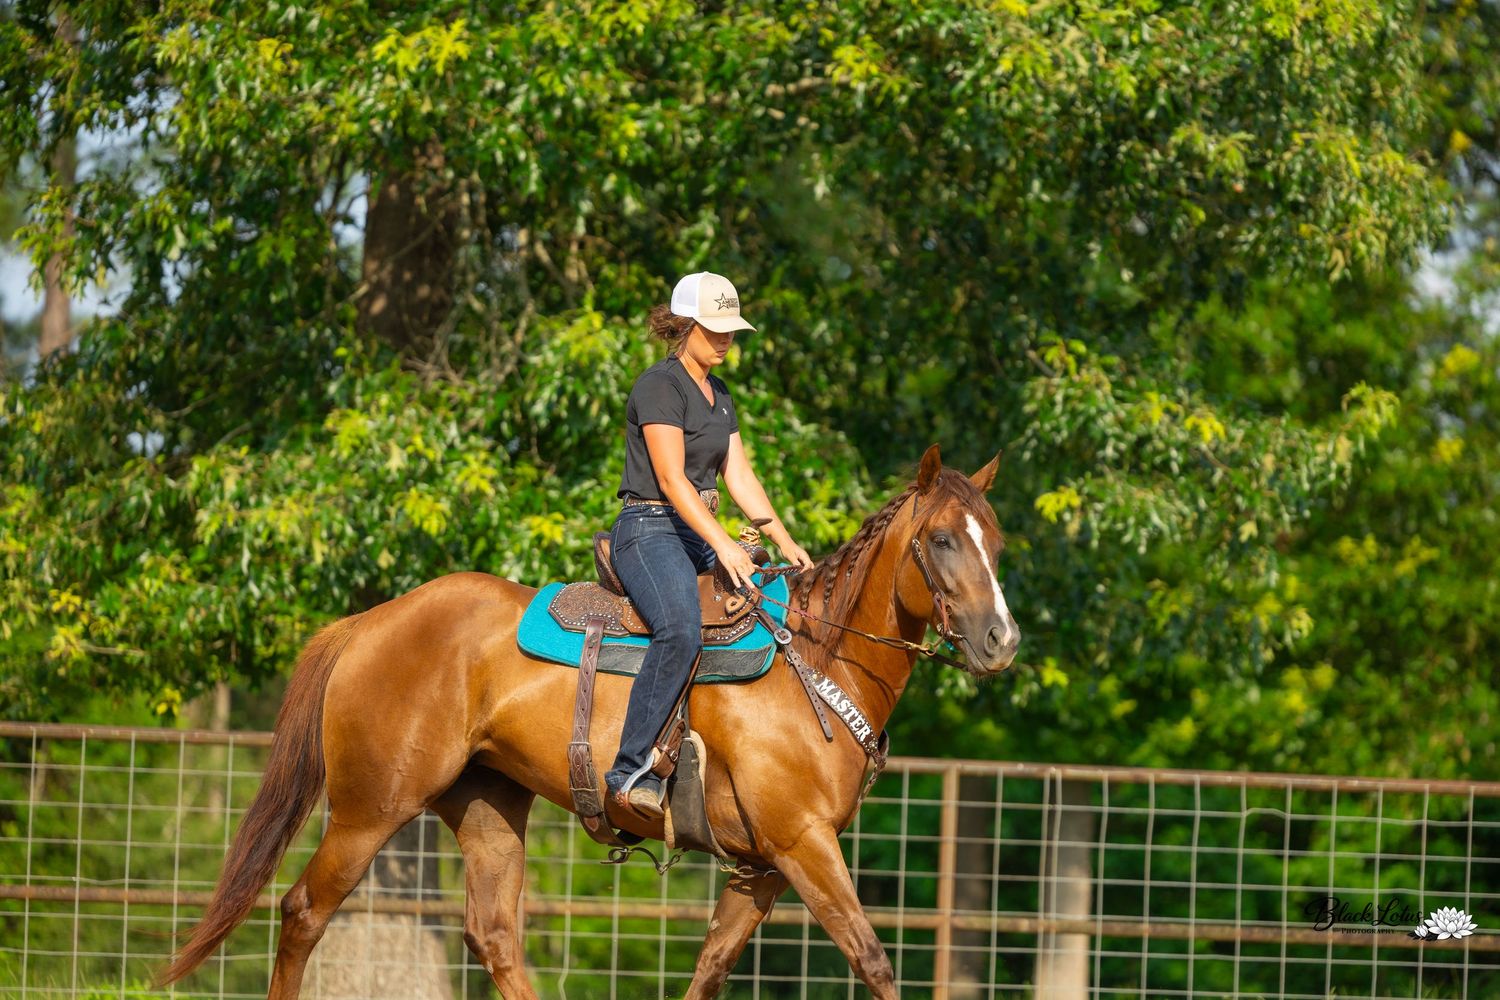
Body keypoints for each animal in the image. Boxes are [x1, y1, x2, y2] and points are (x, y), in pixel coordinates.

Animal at [160, 443, 1021, 999]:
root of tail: (367, 623)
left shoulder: (763, 868)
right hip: (371, 808)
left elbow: (709, 972)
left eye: (998, 541)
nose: (1000, 641)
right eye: (943, 539)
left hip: (488, 808)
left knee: (496, 938)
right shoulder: (802, 845)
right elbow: (874, 962)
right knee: (304, 912)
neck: (820, 660)